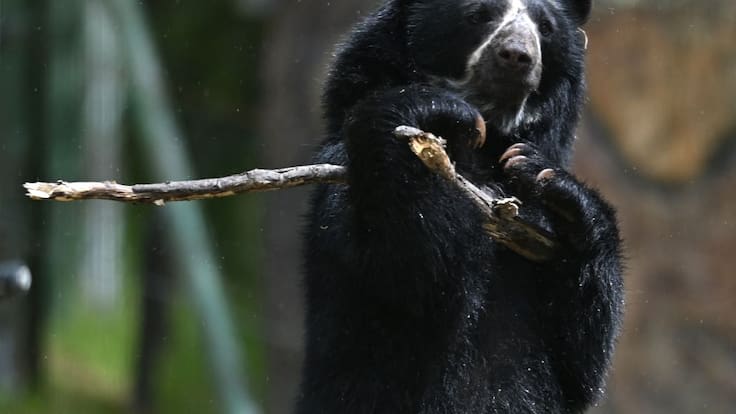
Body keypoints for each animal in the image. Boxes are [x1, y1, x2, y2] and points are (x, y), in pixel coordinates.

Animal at [299, 0, 624, 413]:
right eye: (478, 15)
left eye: (546, 27)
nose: (517, 56)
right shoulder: (340, 180)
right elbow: (412, 275)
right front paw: (438, 111)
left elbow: (582, 362)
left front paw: (547, 181)